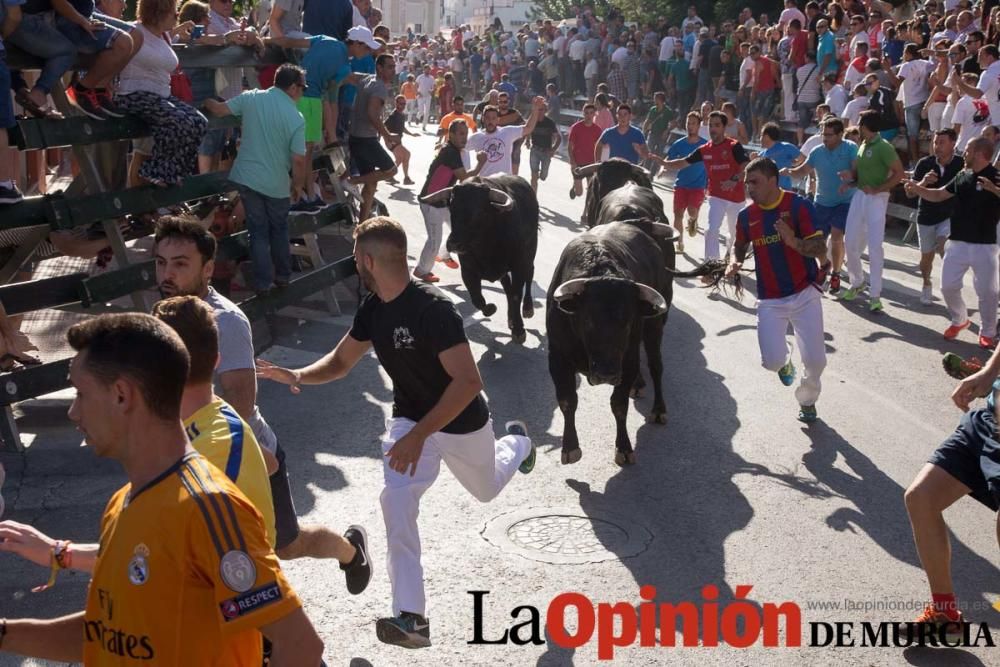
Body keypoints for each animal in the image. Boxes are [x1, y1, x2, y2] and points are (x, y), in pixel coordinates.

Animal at [418, 176, 540, 344]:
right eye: (452, 208)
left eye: (480, 212)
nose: (454, 243)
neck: (484, 246)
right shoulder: (468, 271)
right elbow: (477, 298)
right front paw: (492, 309)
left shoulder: (518, 266)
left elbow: (516, 295)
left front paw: (519, 330)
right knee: (507, 289)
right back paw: (510, 318)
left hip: (529, 254)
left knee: (529, 275)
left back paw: (527, 308)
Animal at [548, 222, 728, 468]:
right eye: (588, 320)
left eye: (628, 321)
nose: (607, 374)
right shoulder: (557, 357)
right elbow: (567, 401)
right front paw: (570, 447)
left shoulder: (628, 360)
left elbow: (619, 404)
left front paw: (624, 447)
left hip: (654, 328)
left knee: (656, 366)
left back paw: (659, 410)